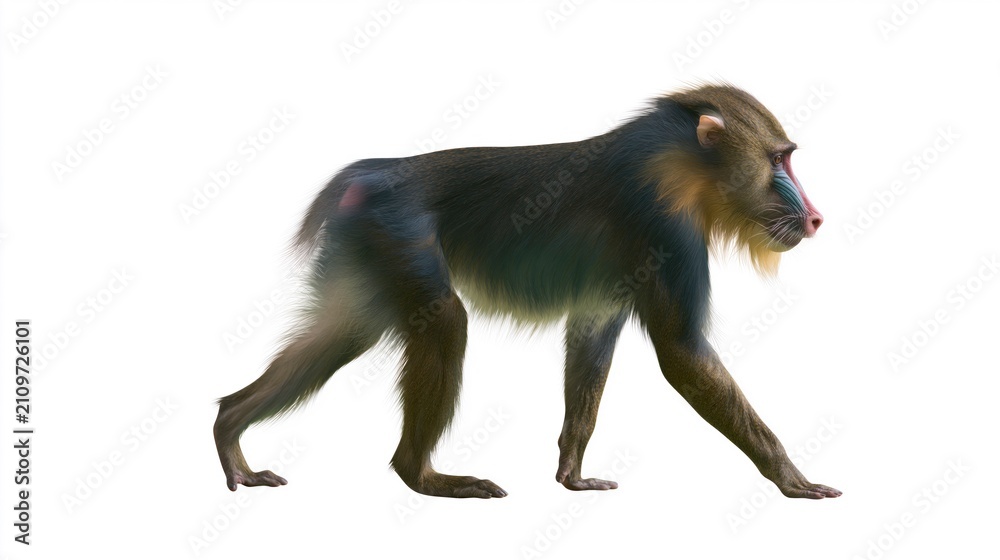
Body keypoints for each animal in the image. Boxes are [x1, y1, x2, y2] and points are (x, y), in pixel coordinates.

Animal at [213, 84, 841, 500]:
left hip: (365, 256)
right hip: (397, 238)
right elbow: (682, 354)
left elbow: (591, 343)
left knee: (339, 335)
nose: (814, 218)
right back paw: (423, 475)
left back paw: (230, 429)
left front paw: (572, 474)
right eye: (778, 160)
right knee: (445, 321)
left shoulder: (608, 291)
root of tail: (369, 174)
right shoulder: (666, 225)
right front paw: (793, 479)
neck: (685, 163)